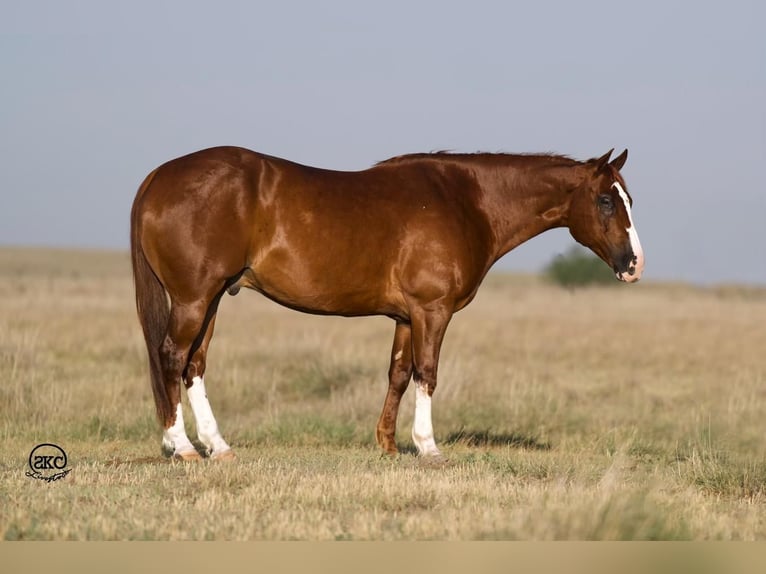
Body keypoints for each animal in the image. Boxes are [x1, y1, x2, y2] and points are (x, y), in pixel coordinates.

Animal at [129, 146, 644, 462]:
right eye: (605, 200)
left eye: (629, 200)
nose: (634, 264)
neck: (467, 202)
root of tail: (158, 176)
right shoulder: (432, 311)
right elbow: (428, 373)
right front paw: (428, 447)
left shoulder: (405, 316)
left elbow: (398, 374)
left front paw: (389, 445)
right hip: (194, 299)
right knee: (171, 357)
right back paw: (183, 447)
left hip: (213, 299)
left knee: (194, 365)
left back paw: (218, 446)